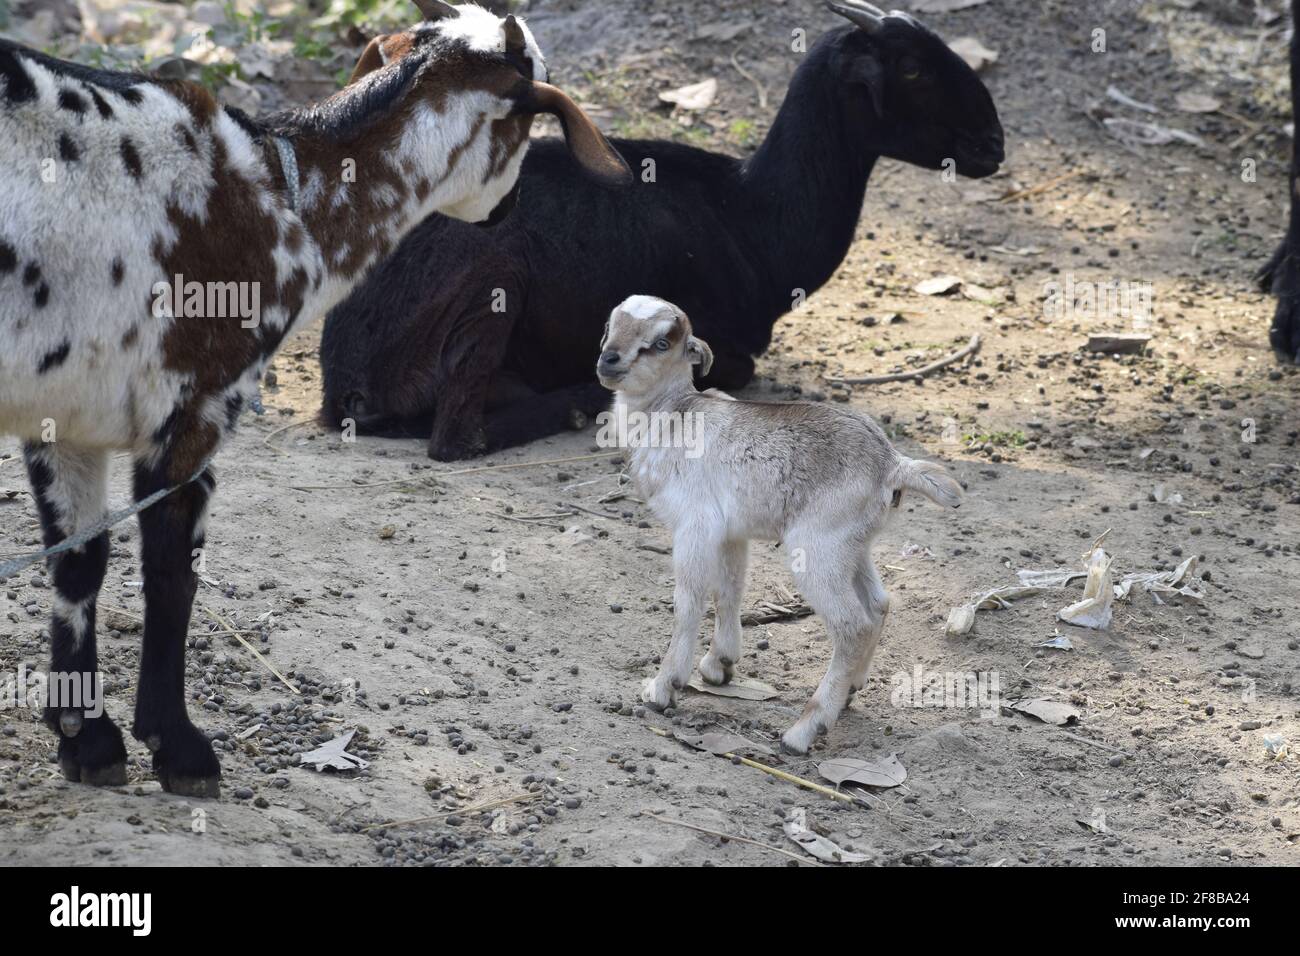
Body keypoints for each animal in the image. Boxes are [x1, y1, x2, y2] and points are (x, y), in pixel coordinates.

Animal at [0, 0, 629, 801]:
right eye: (529, 117)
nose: (511, 205)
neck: (283, 195)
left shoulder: (67, 407)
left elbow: (80, 560)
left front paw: (88, 740)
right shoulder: (196, 404)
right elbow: (173, 574)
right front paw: (180, 749)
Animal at [317, 1, 1003, 463]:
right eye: (911, 69)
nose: (993, 144)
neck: (752, 215)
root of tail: (343, 378)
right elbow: (736, 369)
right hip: (495, 279)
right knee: (456, 438)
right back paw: (573, 400)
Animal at [598, 295, 967, 749]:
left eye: (662, 342)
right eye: (610, 326)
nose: (609, 360)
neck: (671, 415)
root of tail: (892, 465)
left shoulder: (695, 527)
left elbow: (688, 601)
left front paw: (663, 687)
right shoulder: (731, 533)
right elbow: (729, 590)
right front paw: (719, 665)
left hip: (815, 547)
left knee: (853, 625)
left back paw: (805, 729)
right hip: (851, 545)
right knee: (879, 604)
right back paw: (850, 689)